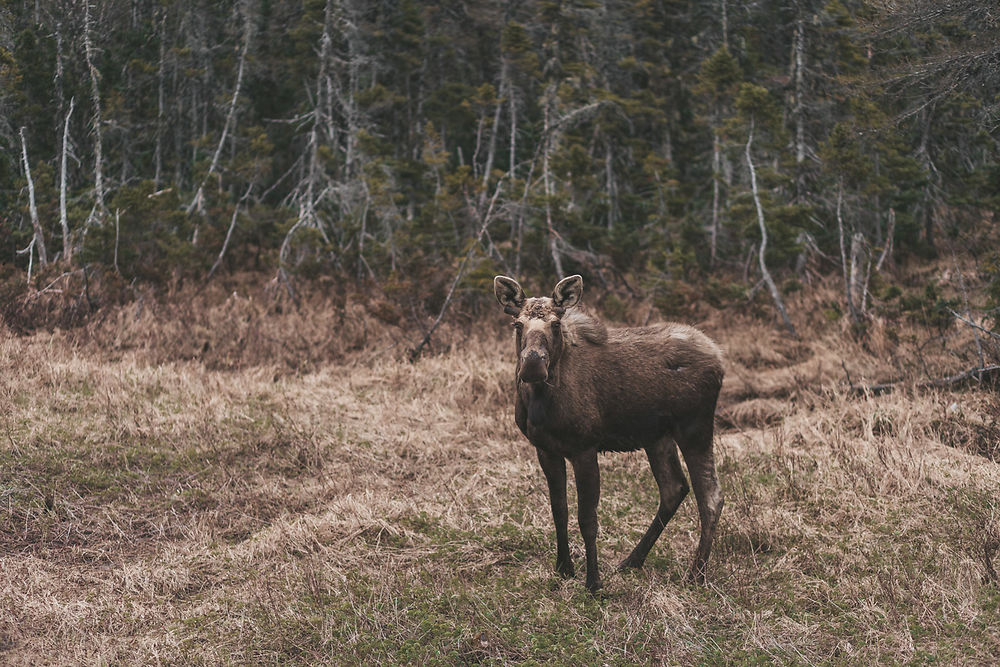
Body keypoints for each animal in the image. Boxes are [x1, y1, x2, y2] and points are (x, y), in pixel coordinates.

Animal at [494, 274, 724, 592]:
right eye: (518, 324)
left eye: (556, 323)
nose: (532, 365)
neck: (542, 401)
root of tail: (719, 357)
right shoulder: (546, 449)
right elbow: (559, 510)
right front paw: (563, 567)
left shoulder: (584, 448)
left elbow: (587, 518)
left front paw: (593, 582)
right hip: (657, 436)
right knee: (674, 488)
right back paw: (632, 560)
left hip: (694, 427)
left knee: (711, 497)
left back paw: (696, 574)